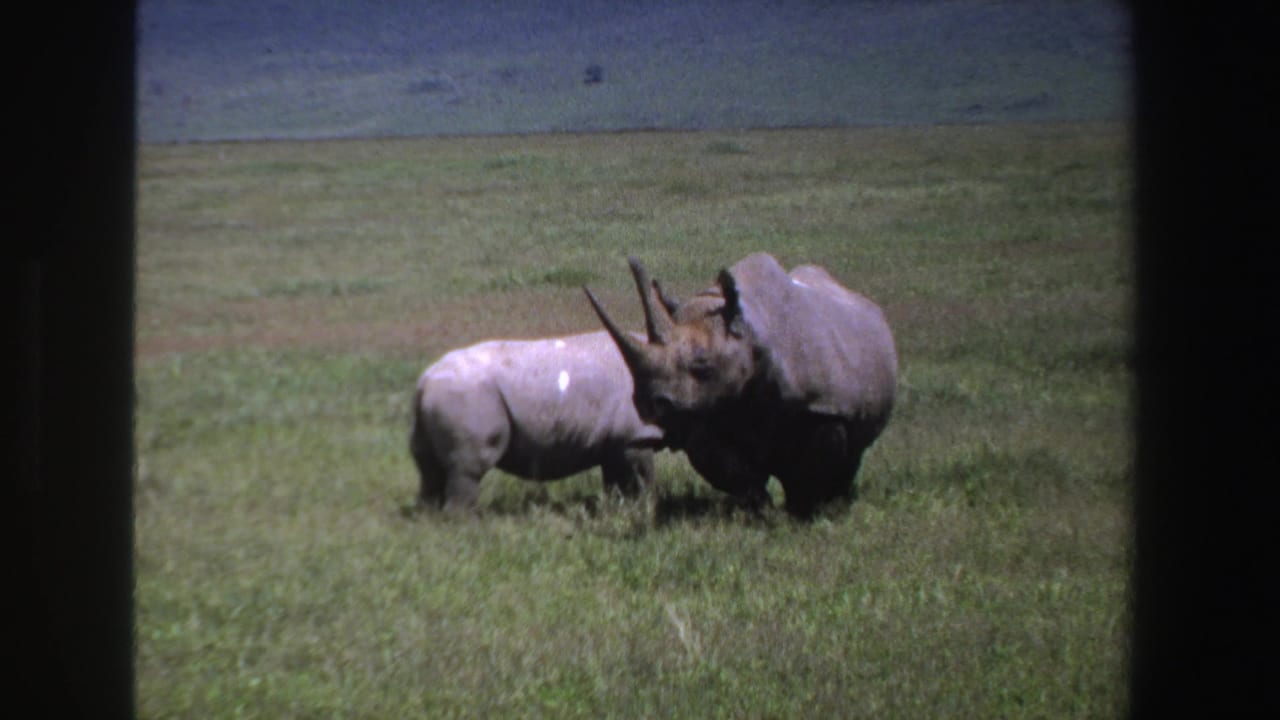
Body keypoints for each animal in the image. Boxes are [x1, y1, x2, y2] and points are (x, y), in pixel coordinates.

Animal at [410, 331, 664, 511]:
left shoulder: (616, 442)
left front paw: (616, 510)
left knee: (429, 466)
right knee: (467, 468)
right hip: (467, 395)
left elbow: (615, 483)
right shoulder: (635, 436)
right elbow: (642, 481)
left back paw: (429, 517)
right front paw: (644, 510)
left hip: (443, 398)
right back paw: (466, 523)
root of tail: (425, 381)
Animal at [584, 253, 897, 516]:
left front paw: (810, 511)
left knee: (853, 451)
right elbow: (731, 471)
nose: (649, 404)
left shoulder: (826, 406)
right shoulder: (705, 410)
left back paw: (836, 501)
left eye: (702, 364)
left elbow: (817, 465)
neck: (751, 335)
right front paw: (760, 509)